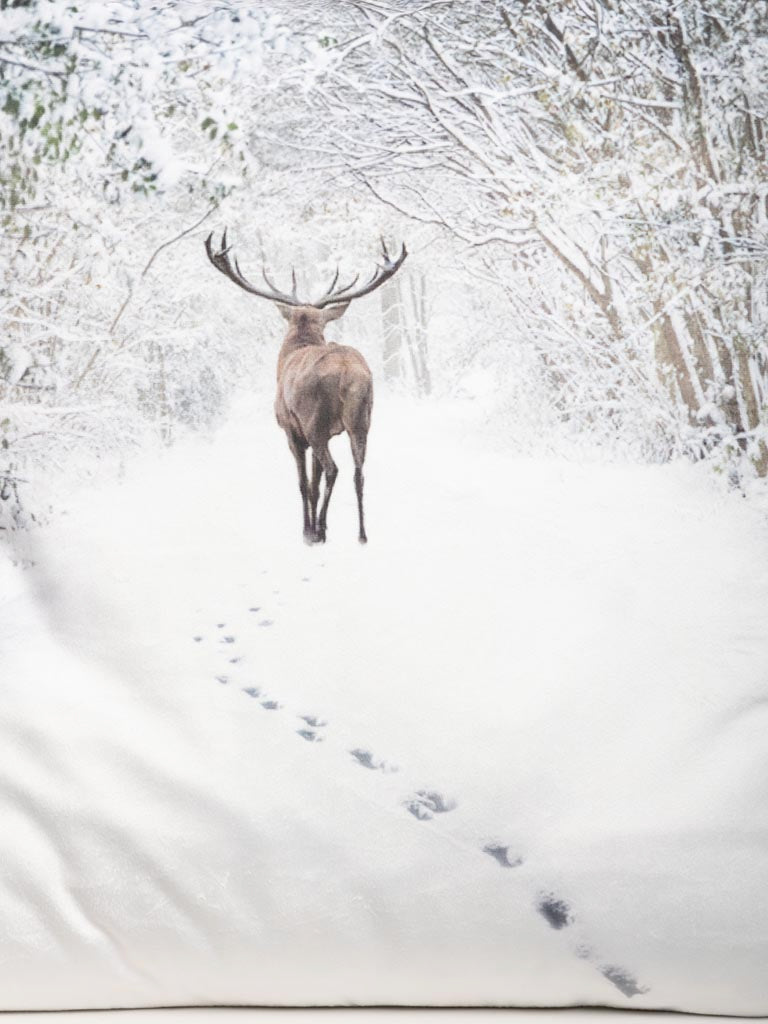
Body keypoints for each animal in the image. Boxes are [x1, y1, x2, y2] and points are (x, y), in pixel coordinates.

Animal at [204, 231, 409, 544]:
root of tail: (347, 371)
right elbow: (314, 482)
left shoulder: (292, 430)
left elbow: (303, 482)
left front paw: (307, 530)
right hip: (362, 418)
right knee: (358, 472)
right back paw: (361, 534)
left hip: (315, 421)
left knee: (334, 469)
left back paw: (320, 530)